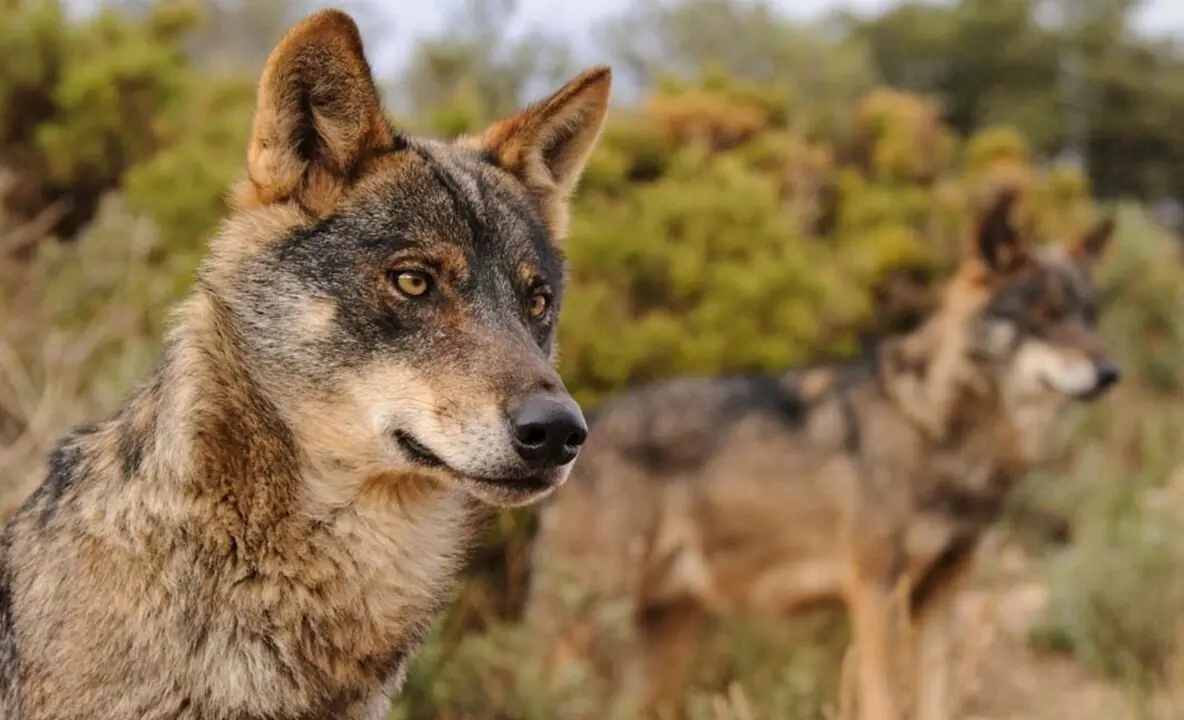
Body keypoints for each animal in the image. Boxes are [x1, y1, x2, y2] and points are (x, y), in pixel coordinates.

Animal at [525, 190, 1119, 720]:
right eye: (1045, 313)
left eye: (1090, 316)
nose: (1111, 373)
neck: (938, 429)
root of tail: (589, 423)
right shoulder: (877, 593)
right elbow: (884, 702)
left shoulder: (941, 600)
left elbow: (938, 703)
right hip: (589, 624)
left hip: (661, 644)